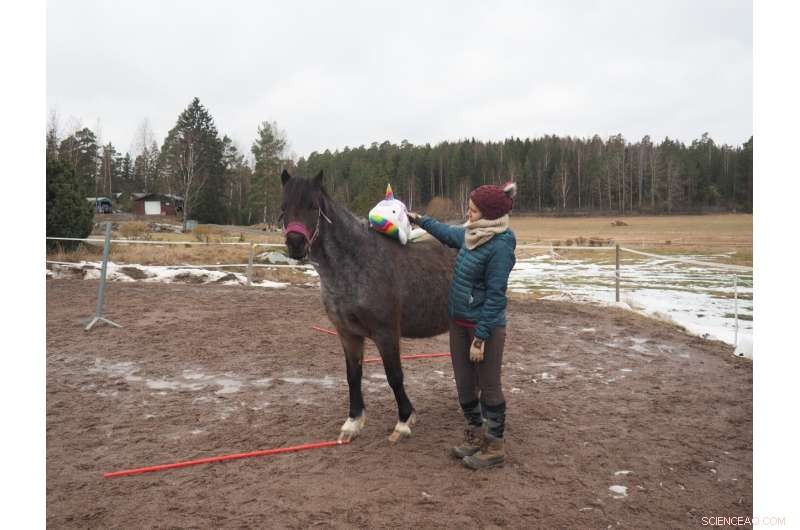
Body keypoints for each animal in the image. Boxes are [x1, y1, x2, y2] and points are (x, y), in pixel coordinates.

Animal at [280, 169, 456, 443]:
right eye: (284, 207)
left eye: (312, 206)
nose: (296, 243)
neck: (356, 263)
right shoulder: (347, 333)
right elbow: (353, 376)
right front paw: (353, 422)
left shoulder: (386, 333)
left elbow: (394, 376)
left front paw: (404, 421)